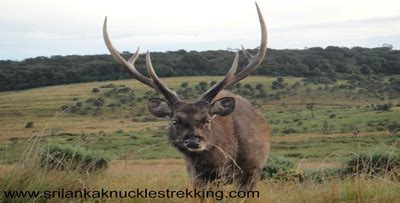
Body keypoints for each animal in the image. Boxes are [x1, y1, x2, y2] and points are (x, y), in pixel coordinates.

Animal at [103, 2, 270, 190]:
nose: (193, 141)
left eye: (208, 120)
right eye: (175, 121)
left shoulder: (252, 170)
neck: (225, 159)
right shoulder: (198, 175)